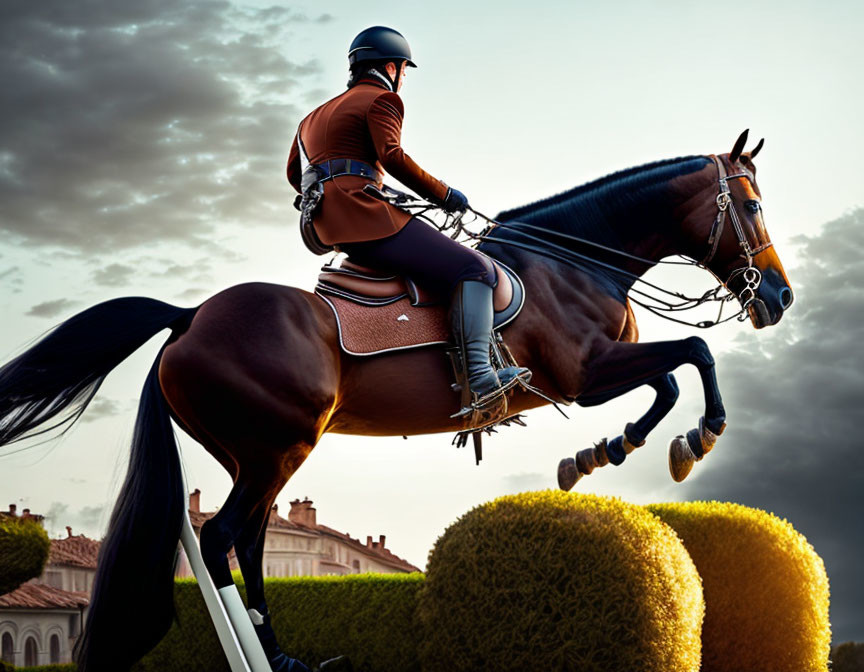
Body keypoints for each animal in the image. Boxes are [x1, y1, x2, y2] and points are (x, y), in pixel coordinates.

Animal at [0, 129, 792, 668]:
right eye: (752, 204)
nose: (779, 298)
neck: (571, 259)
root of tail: (190, 317)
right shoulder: (585, 374)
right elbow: (690, 361)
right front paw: (685, 441)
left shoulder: (594, 376)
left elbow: (668, 378)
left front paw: (603, 452)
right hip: (278, 447)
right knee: (224, 538)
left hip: (257, 455)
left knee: (245, 541)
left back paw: (284, 658)